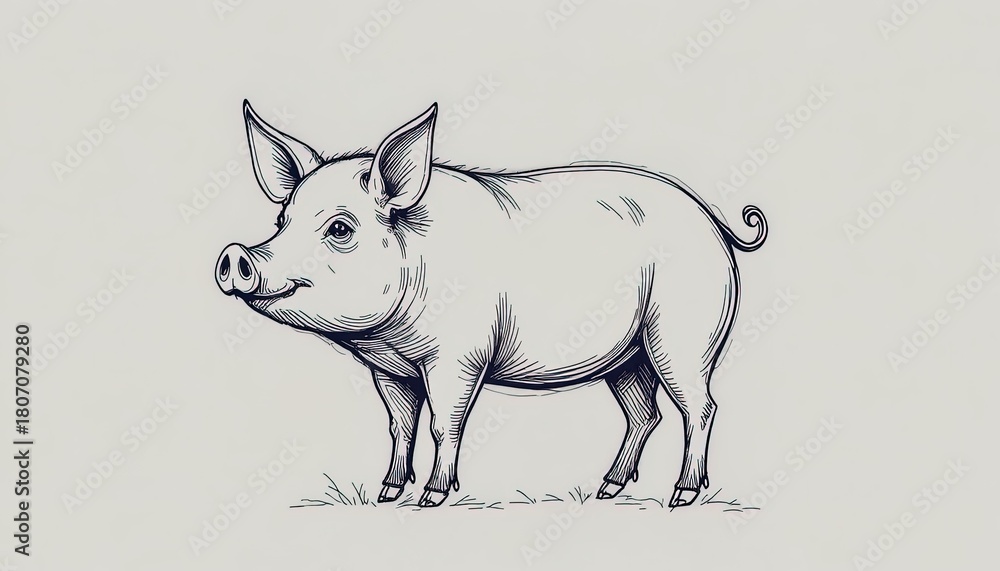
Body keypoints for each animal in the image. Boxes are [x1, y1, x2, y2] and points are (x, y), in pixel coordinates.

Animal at [216, 100, 768, 508]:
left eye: (340, 228)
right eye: (282, 220)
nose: (236, 254)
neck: (388, 335)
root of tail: (713, 219)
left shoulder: (459, 357)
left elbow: (444, 423)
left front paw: (431, 500)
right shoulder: (390, 369)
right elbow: (400, 425)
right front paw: (386, 494)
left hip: (683, 337)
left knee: (700, 408)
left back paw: (681, 497)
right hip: (626, 354)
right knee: (644, 414)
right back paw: (605, 490)